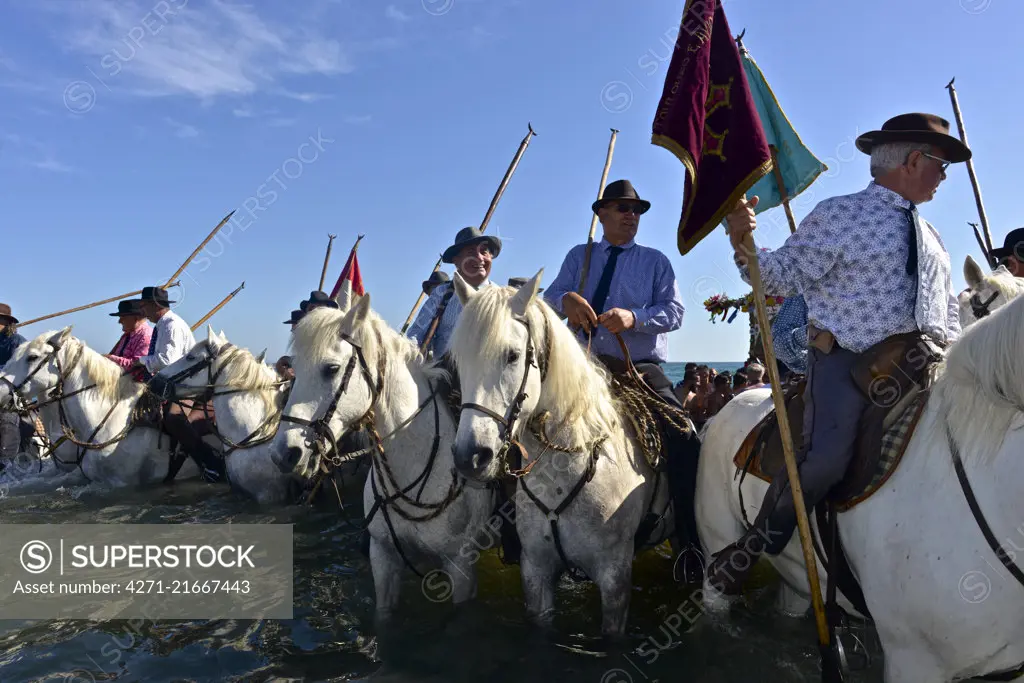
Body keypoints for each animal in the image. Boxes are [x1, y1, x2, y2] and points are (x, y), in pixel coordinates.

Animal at [268, 296, 495, 626]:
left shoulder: (460, 567)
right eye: (293, 369)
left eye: (331, 368)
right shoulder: (383, 555)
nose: (283, 453)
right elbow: (383, 618)